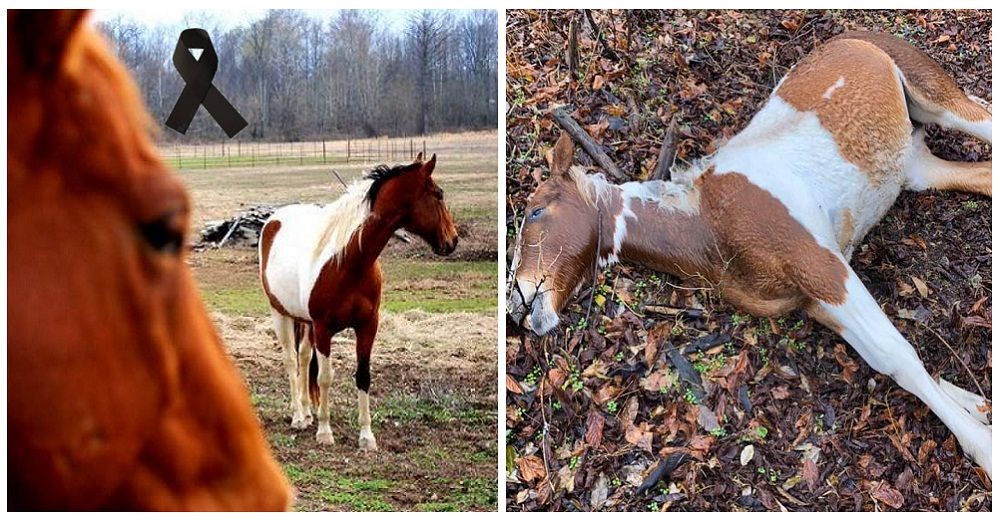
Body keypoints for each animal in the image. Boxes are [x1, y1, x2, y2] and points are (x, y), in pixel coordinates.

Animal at [260, 153, 458, 446]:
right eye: (439, 194)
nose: (453, 240)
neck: (350, 262)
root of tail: (274, 220)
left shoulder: (367, 325)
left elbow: (363, 376)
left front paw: (366, 436)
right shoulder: (324, 328)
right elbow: (325, 378)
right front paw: (325, 431)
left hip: (305, 321)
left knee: (304, 357)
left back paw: (307, 413)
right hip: (281, 314)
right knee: (291, 360)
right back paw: (298, 417)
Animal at [508, 31, 992, 480]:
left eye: (536, 211)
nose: (519, 302)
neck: (708, 227)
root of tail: (852, 38)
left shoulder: (822, 267)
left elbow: (899, 358)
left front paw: (983, 446)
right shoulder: (815, 302)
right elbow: (888, 360)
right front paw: (977, 404)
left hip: (941, 103)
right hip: (915, 167)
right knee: (984, 175)